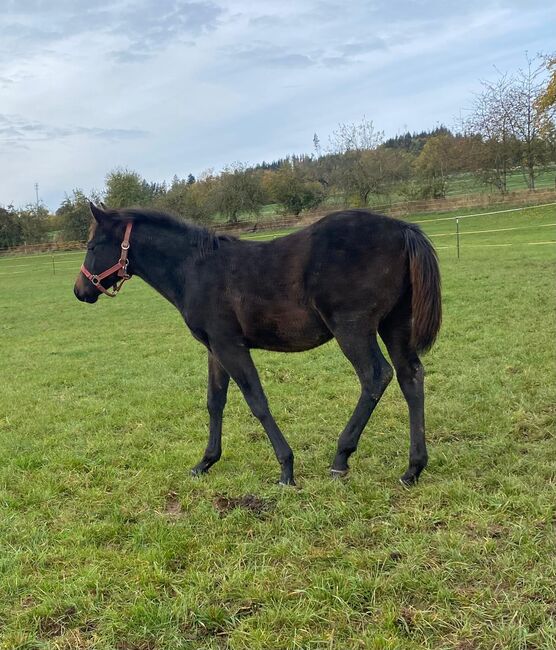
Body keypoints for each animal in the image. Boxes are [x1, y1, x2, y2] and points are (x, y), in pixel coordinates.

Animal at [74, 205, 440, 484]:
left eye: (92, 246)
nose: (80, 290)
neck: (195, 269)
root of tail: (402, 228)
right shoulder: (215, 349)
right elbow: (214, 402)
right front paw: (205, 462)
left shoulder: (230, 346)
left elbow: (257, 401)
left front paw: (286, 469)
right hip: (395, 324)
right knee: (411, 377)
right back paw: (413, 468)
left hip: (353, 328)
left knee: (375, 376)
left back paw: (341, 457)